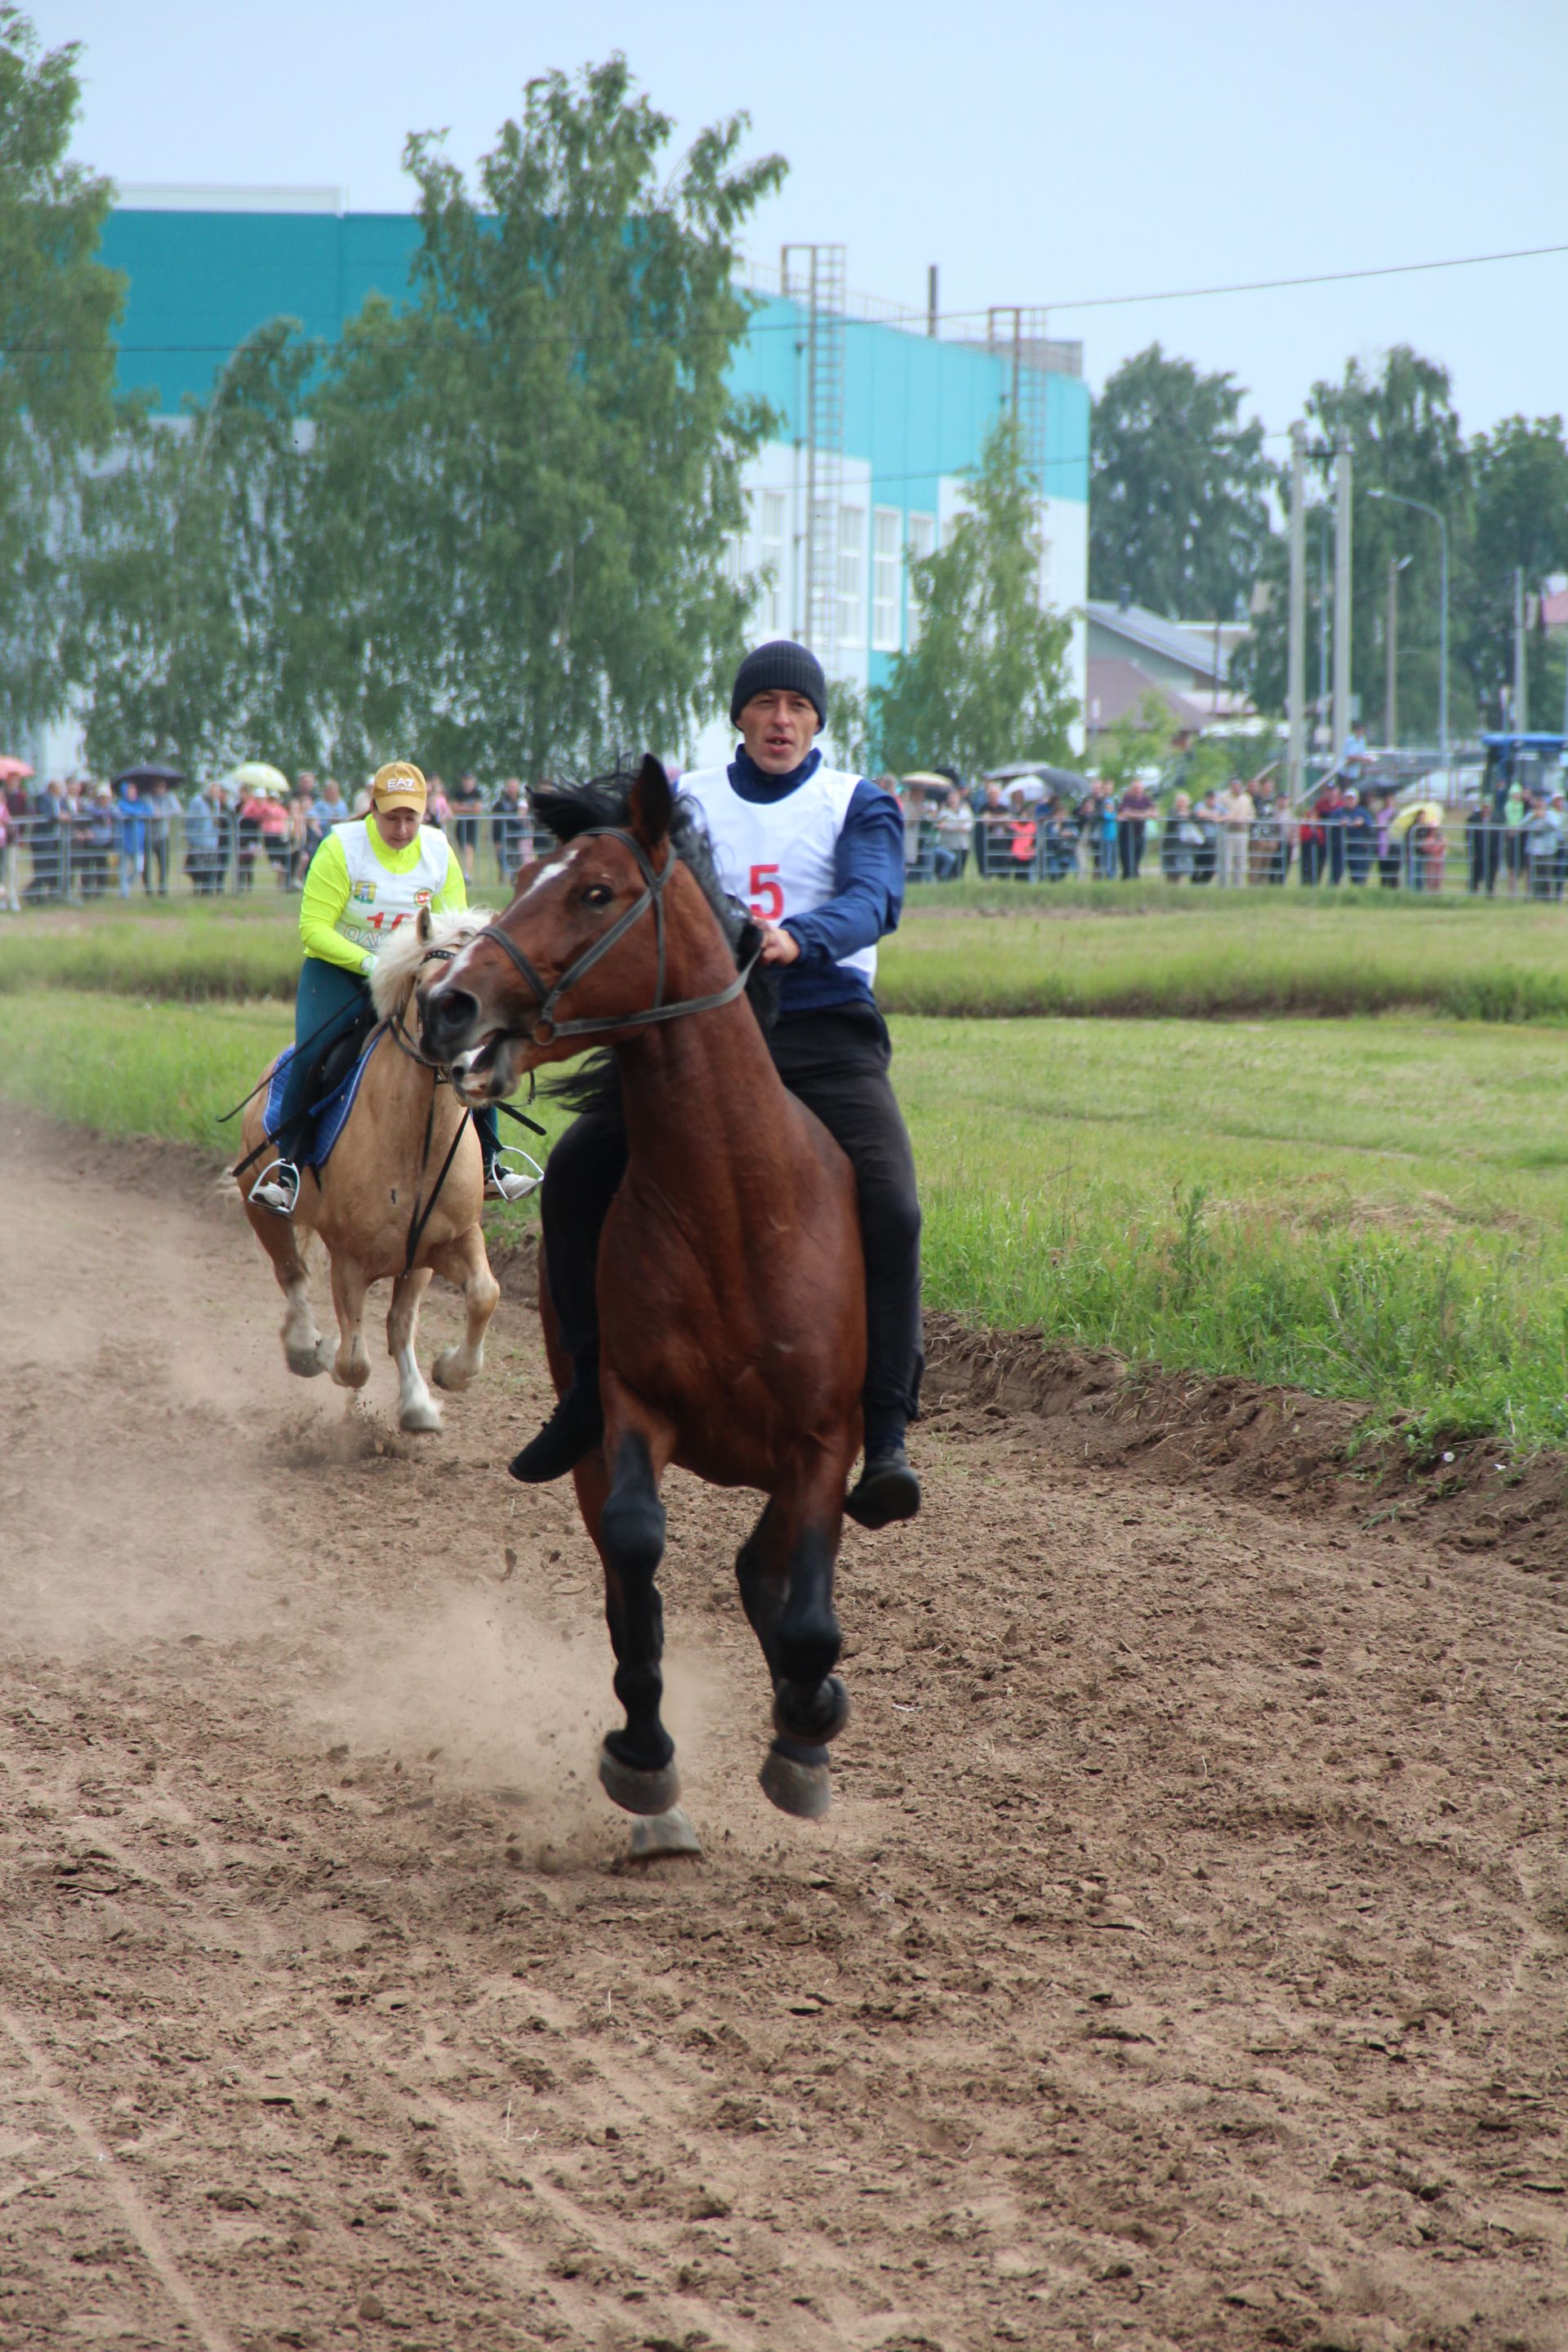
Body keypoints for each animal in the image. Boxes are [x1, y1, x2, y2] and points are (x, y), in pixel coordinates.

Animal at [237, 907, 503, 1430]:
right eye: (430, 991)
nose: (474, 1070)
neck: (417, 1141)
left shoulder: (450, 1240)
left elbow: (484, 1293)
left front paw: (446, 1375)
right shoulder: (350, 1260)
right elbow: (353, 1362)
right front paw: (323, 1353)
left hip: (416, 1262)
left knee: (398, 1323)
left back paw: (416, 1403)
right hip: (262, 1209)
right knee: (292, 1275)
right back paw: (305, 1348)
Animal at [425, 752, 870, 1834]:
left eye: (595, 892)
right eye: (527, 873)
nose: (448, 1004)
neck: (737, 1211)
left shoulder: (824, 1440)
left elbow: (807, 1616)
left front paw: (807, 1731)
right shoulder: (630, 1408)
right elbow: (636, 1560)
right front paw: (644, 1756)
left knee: (768, 1573)